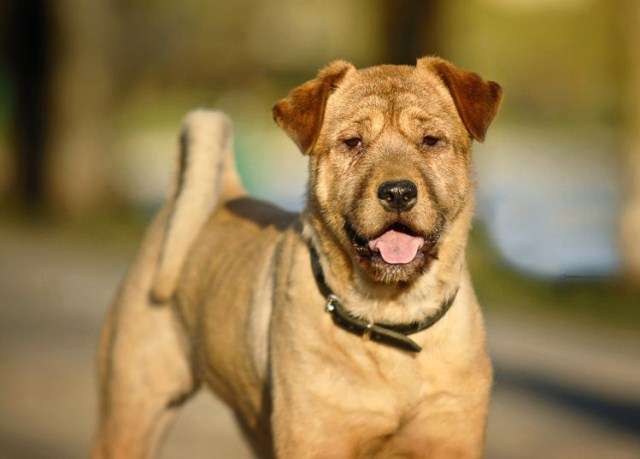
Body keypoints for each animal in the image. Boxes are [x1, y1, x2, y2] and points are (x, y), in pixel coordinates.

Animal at [94, 55, 504, 458]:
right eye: (352, 142)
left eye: (431, 140)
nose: (398, 192)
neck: (392, 318)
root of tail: (224, 194)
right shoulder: (316, 439)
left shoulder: (452, 437)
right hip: (131, 411)